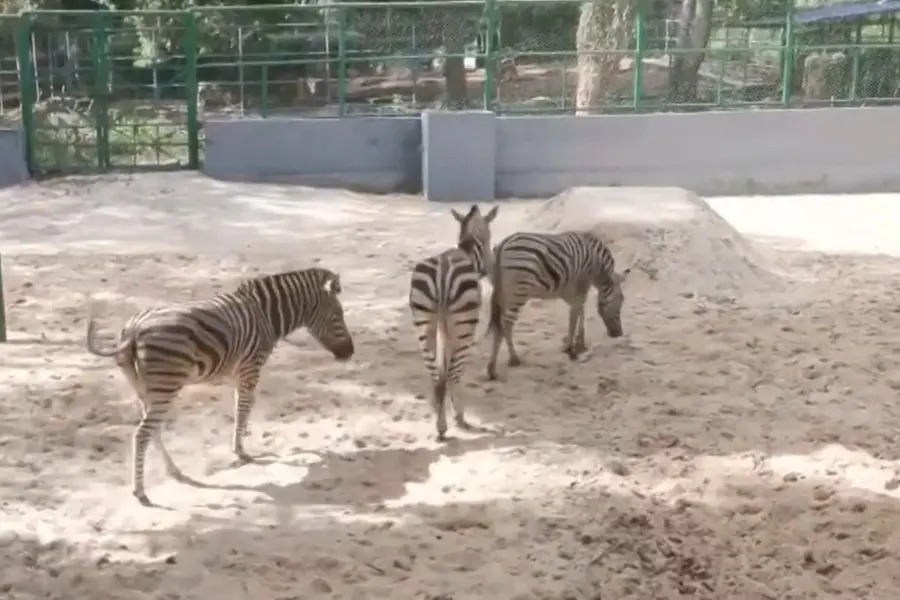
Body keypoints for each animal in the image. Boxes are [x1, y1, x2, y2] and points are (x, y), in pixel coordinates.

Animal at [85, 267, 354, 506]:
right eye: (337, 317)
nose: (350, 353)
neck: (266, 315)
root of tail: (134, 329)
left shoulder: (235, 371)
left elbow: (242, 405)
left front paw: (239, 446)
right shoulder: (250, 367)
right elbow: (243, 407)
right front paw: (241, 452)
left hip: (144, 388)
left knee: (153, 429)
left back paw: (174, 471)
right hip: (165, 385)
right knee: (142, 433)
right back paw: (141, 491)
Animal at [408, 204, 498, 440]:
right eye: (488, 237)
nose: (489, 270)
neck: (467, 251)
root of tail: (442, 275)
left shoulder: (442, 327)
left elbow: (442, 367)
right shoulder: (458, 329)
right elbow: (451, 368)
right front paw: (455, 413)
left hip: (425, 325)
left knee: (436, 377)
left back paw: (439, 424)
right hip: (464, 329)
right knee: (454, 374)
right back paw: (456, 419)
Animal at [486, 230, 630, 381]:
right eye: (621, 301)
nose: (618, 334)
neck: (597, 263)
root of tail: (504, 244)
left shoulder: (568, 290)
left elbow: (579, 310)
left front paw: (579, 343)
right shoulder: (582, 284)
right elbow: (575, 315)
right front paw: (571, 349)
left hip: (503, 293)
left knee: (500, 324)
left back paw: (499, 365)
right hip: (518, 292)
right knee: (506, 323)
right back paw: (508, 361)